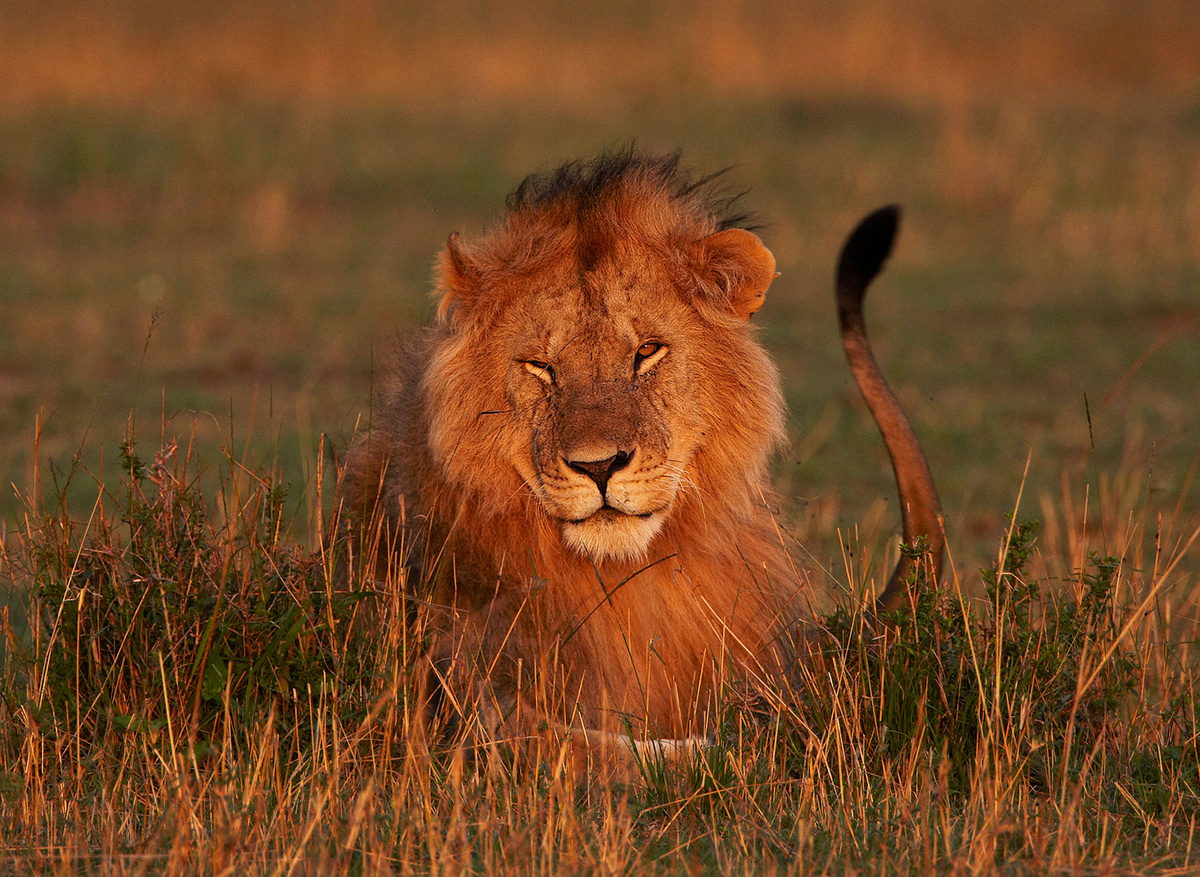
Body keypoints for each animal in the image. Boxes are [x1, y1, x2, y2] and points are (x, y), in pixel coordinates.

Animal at [337, 149, 943, 752]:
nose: (599, 466)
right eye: (539, 366)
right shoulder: (454, 688)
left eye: (647, 351)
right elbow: (611, 749)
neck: (624, 581)